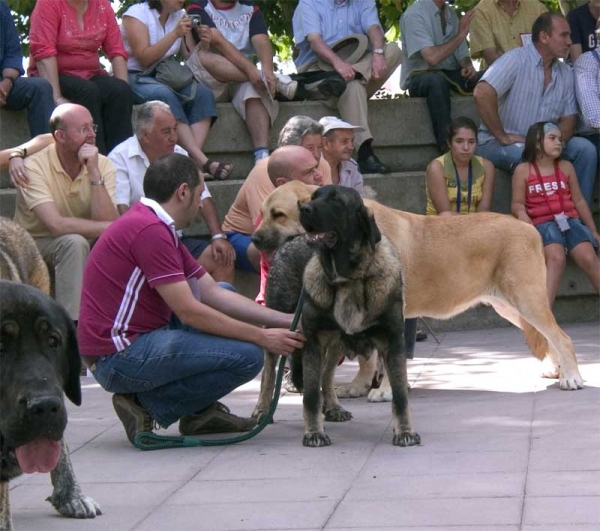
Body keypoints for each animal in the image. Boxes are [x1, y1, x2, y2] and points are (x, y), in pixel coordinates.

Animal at [252, 187, 418, 448]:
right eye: (314, 197)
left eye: (336, 201)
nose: (304, 209)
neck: (348, 278)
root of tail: (291, 240)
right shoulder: (311, 342)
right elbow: (310, 396)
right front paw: (314, 433)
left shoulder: (393, 342)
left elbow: (400, 396)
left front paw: (404, 431)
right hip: (278, 326)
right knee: (269, 369)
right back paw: (262, 409)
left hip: (334, 344)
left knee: (327, 375)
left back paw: (332, 406)